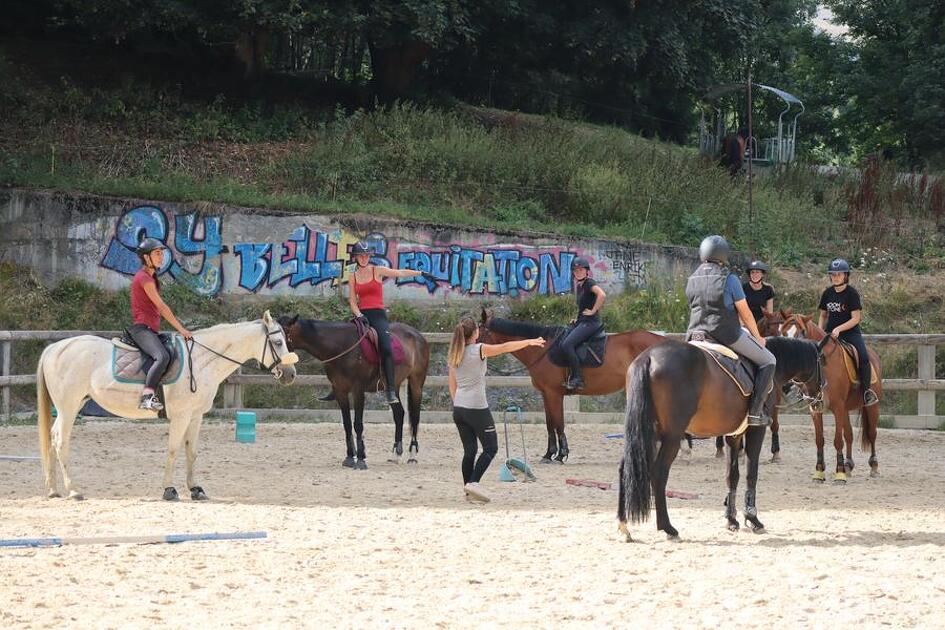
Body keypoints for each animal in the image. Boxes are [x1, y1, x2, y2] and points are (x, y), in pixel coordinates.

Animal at [36, 312, 296, 504]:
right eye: (277, 342)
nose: (291, 374)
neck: (201, 361)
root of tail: (53, 348)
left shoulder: (196, 416)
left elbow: (192, 452)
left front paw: (196, 489)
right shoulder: (181, 415)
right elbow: (173, 450)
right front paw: (169, 490)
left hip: (74, 404)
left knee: (51, 437)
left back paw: (53, 490)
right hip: (68, 407)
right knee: (60, 440)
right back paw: (73, 490)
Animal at [278, 316, 430, 470]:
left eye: (281, 337)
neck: (341, 346)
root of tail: (417, 335)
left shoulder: (358, 390)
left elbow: (358, 424)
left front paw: (361, 459)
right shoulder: (340, 390)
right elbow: (346, 424)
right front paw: (350, 458)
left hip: (416, 383)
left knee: (415, 417)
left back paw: (412, 455)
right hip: (394, 386)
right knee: (399, 414)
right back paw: (396, 454)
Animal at [480, 310, 664, 464]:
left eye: (479, 331)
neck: (543, 350)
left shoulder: (554, 394)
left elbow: (559, 423)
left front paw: (561, 455)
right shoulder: (546, 394)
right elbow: (549, 424)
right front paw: (548, 454)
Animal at [616, 336, 824, 544]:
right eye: (823, 361)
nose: (819, 400)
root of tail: (649, 357)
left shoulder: (734, 435)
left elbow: (732, 476)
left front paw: (731, 520)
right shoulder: (756, 429)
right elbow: (751, 473)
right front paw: (752, 518)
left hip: (647, 433)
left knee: (626, 468)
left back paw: (624, 526)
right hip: (671, 436)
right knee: (659, 473)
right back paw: (668, 528)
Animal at [780, 314, 880, 484]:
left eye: (801, 333)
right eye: (783, 333)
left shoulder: (838, 407)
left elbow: (837, 440)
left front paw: (839, 474)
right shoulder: (815, 408)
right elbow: (819, 440)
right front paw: (819, 472)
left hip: (871, 406)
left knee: (872, 433)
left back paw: (873, 466)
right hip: (846, 410)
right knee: (849, 435)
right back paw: (848, 466)